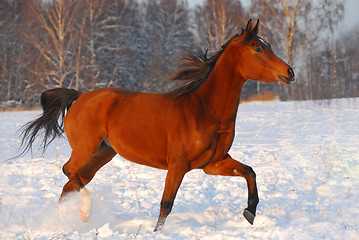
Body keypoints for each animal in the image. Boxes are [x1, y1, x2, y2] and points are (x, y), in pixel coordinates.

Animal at [18, 19, 296, 232]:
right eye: (258, 48)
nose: (290, 72)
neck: (203, 111)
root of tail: (80, 96)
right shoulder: (178, 165)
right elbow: (166, 204)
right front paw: (156, 232)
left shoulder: (213, 164)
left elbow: (250, 172)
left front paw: (250, 213)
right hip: (86, 149)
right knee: (68, 171)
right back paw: (85, 212)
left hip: (102, 153)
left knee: (70, 183)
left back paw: (67, 221)